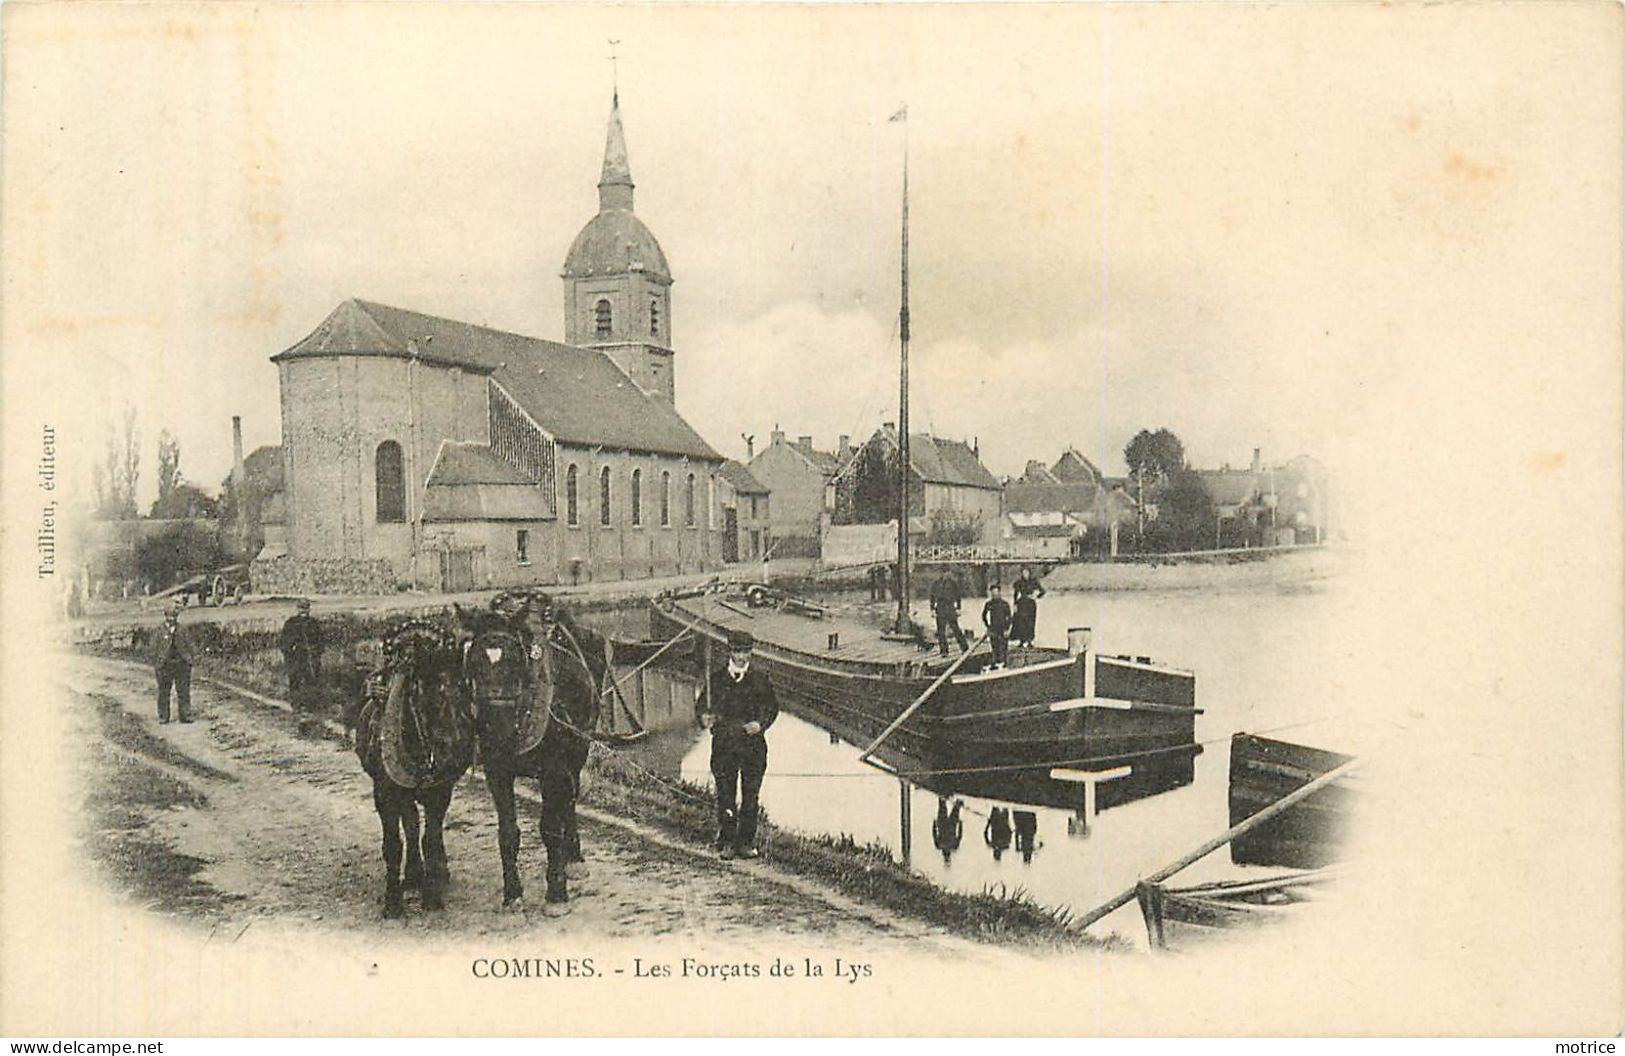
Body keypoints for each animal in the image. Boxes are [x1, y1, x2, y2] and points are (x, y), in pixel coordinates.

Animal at [355, 617, 474, 909]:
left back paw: (433, 873)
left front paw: (432, 895)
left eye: (463, 686)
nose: (457, 746)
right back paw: (411, 876)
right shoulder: (384, 793)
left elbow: (429, 838)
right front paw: (393, 901)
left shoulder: (440, 792)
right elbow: (395, 843)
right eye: (430, 691)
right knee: (409, 824)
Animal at [455, 591, 607, 909]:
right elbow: (507, 833)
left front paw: (556, 893)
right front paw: (512, 893)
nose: (495, 728)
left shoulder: (554, 769)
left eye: (516, 661)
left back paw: (573, 858)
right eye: (473, 662)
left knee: (569, 799)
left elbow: (549, 829)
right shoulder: (497, 772)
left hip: (579, 748)